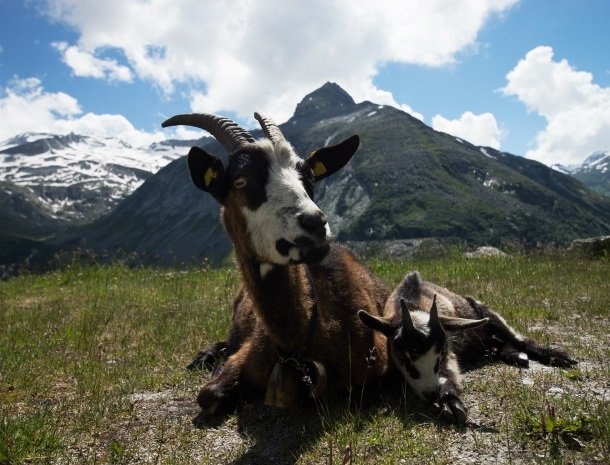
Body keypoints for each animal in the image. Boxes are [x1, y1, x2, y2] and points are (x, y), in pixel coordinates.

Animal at [358, 270, 576, 426]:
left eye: (439, 357)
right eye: (403, 358)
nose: (432, 394)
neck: (411, 301)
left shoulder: (448, 346)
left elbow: (450, 371)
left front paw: (451, 402)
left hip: (488, 314)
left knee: (518, 338)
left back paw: (556, 356)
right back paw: (515, 355)